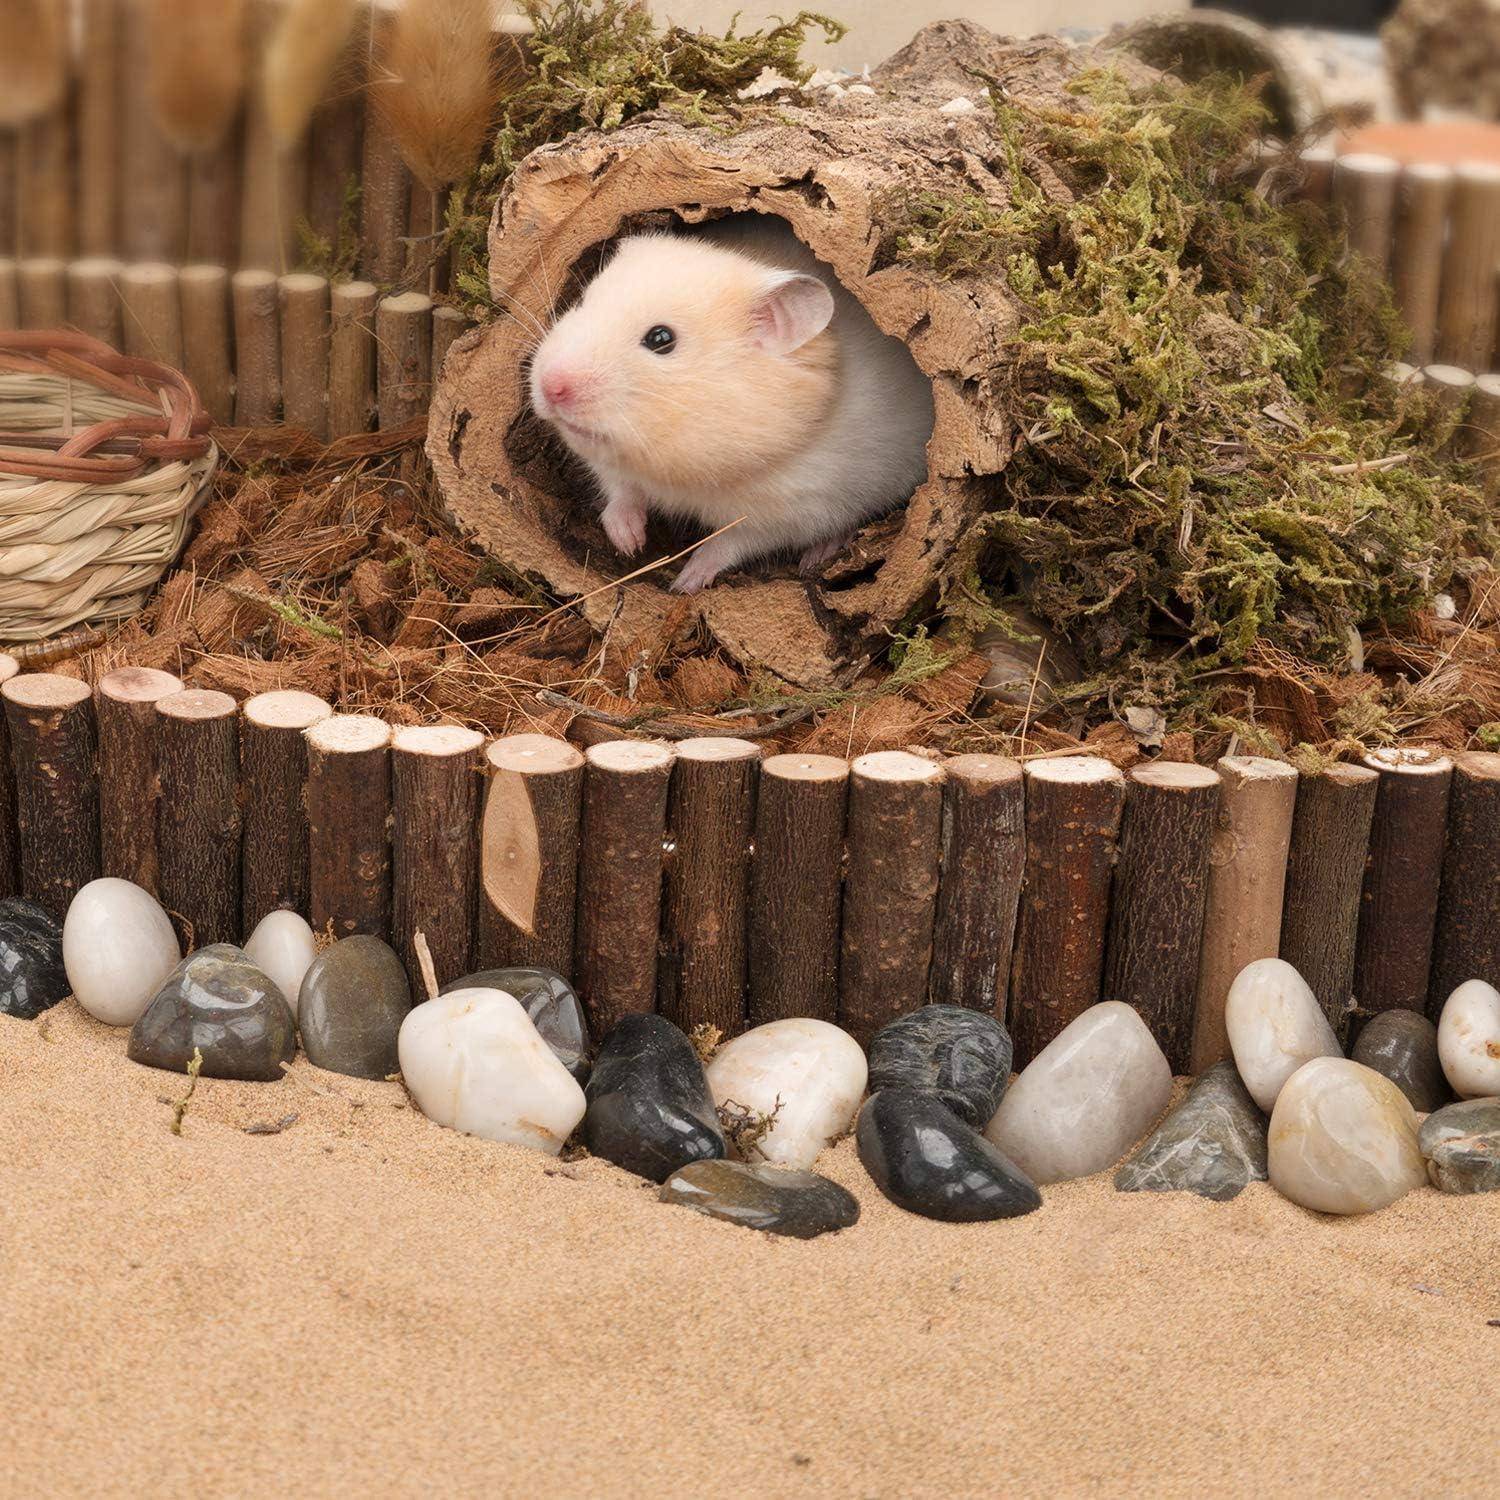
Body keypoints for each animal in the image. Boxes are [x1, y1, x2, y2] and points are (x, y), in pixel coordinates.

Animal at [527, 215, 935, 594]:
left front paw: (685, 583)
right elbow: (620, 490)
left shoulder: (790, 513)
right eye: (582, 301)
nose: (551, 387)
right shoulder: (612, 464)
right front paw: (628, 542)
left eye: (661, 339)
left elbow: (729, 543)